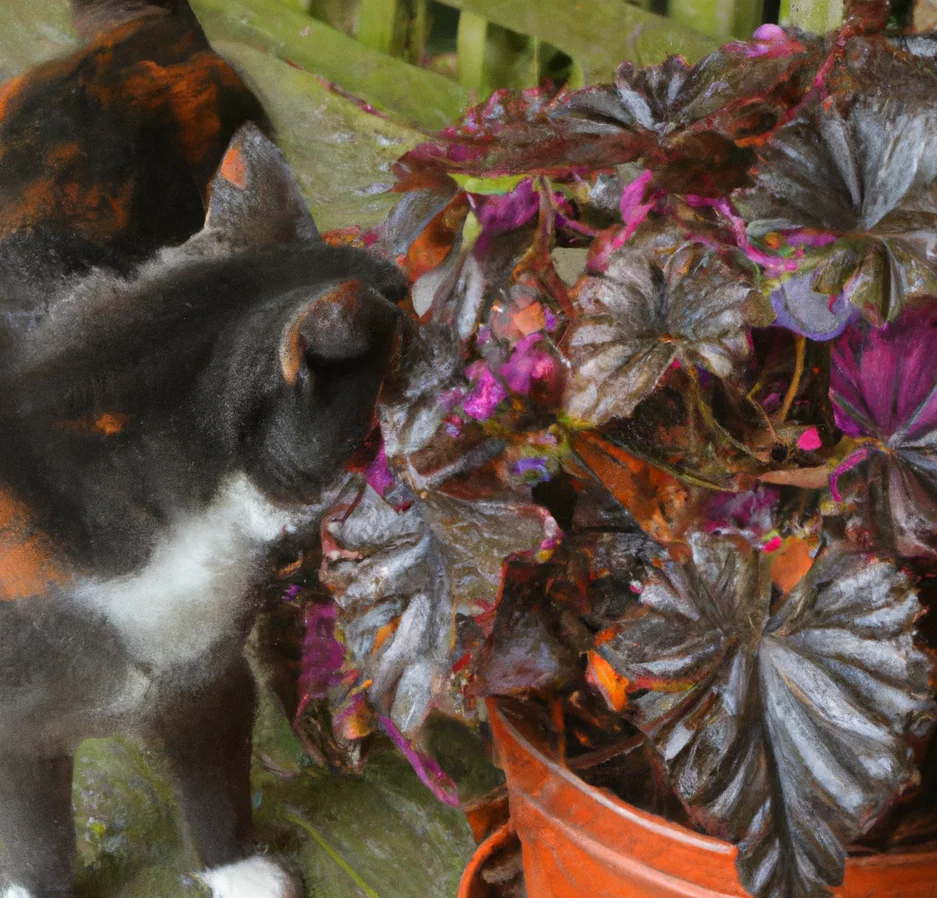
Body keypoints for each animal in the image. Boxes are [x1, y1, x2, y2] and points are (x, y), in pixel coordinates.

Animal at [0, 1, 410, 896]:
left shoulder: (206, 668)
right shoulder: (16, 728)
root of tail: (140, 34)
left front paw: (244, 873)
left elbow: (215, 782)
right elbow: (34, 840)